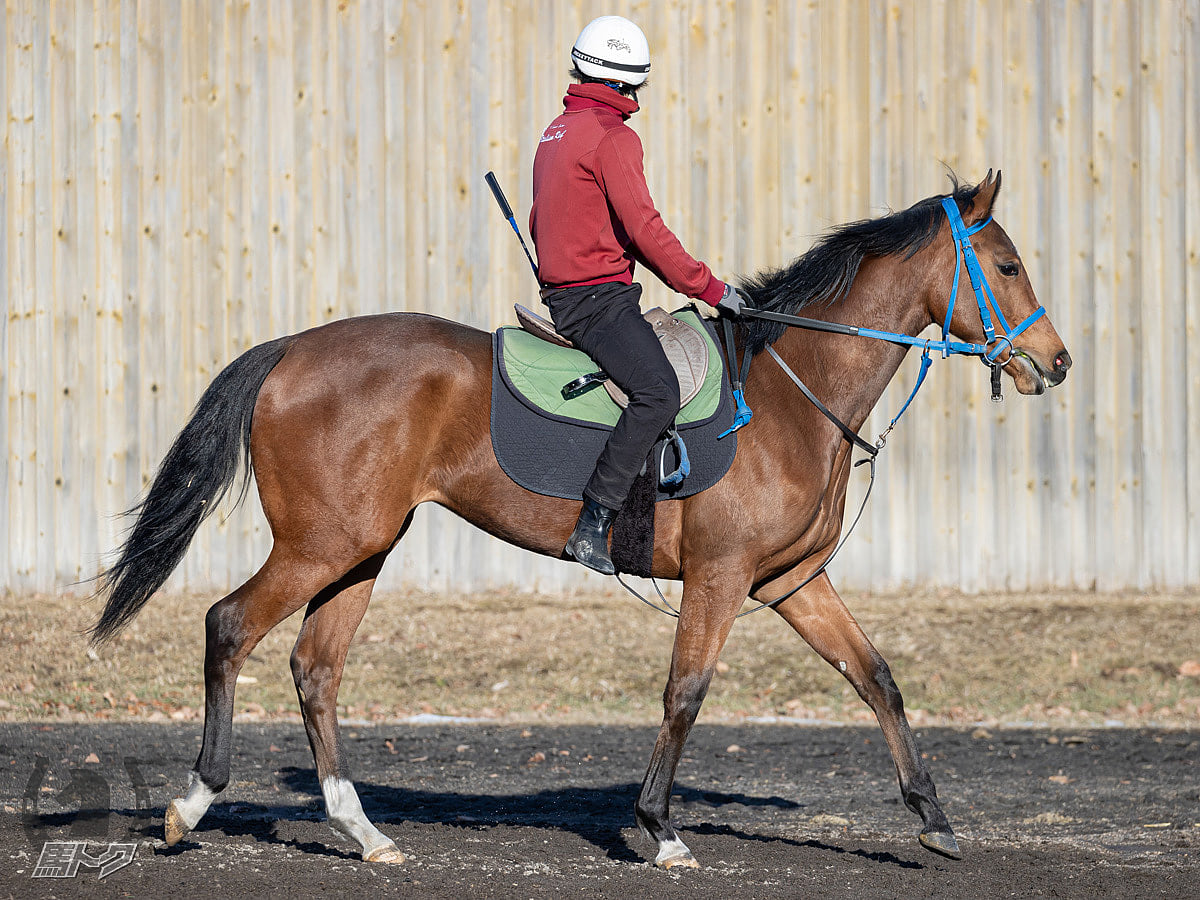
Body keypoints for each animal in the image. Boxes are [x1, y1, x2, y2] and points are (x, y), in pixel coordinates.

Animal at [91, 172, 1070, 868]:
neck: (792, 391)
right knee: (229, 626)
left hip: (361, 551)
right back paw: (192, 803)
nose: (1056, 361)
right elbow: (686, 692)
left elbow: (877, 679)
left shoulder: (792, 582)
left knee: (315, 669)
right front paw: (661, 828)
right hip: (319, 545)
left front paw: (934, 817)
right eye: (1009, 265)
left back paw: (362, 831)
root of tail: (292, 347)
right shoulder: (719, 578)